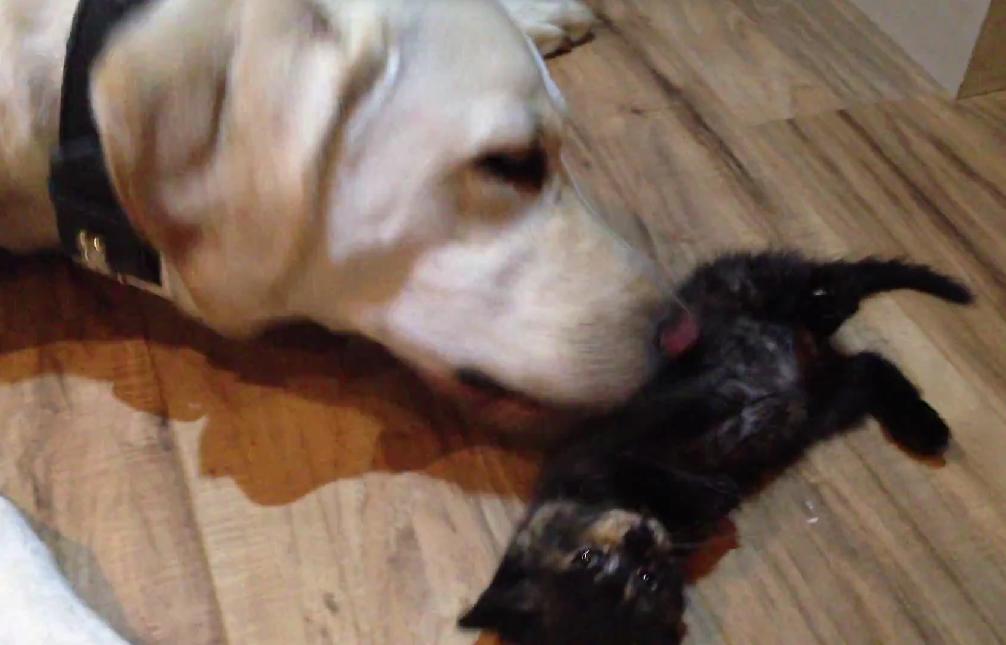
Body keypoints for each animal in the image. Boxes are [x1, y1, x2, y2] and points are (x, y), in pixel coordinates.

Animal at [460, 251, 969, 643]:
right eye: (645, 580)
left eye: (587, 557)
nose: (641, 538)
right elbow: (717, 486)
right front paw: (740, 450)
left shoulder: (626, 431)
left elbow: (670, 439)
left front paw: (741, 413)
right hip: (830, 401)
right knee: (870, 366)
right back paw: (921, 426)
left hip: (748, 293)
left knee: (827, 286)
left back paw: (826, 303)